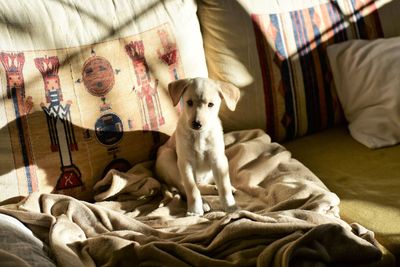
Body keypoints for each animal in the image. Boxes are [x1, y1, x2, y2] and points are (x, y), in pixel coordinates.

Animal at [155, 77, 239, 216]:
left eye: (210, 104)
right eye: (189, 102)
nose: (196, 123)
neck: (200, 135)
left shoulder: (219, 160)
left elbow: (224, 185)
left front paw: (230, 206)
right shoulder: (186, 163)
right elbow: (191, 188)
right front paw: (195, 209)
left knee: (201, 185)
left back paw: (215, 188)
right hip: (167, 159)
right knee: (183, 187)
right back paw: (203, 202)